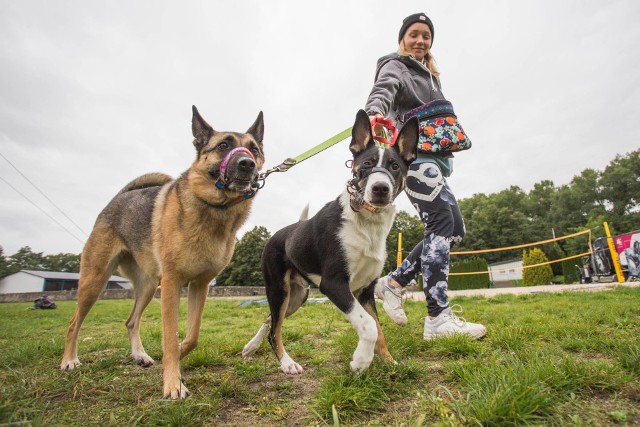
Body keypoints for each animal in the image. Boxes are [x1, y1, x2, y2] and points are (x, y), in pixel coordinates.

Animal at [242, 109, 418, 374]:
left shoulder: (365, 291)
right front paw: (360, 361)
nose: (380, 188)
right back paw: (287, 363)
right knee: (275, 329)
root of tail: (279, 234)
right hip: (278, 289)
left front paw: (389, 363)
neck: (366, 222)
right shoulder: (334, 284)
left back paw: (251, 346)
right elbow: (369, 326)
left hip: (296, 297)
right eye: (366, 164)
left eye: (395, 166)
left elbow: (378, 330)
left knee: (270, 319)